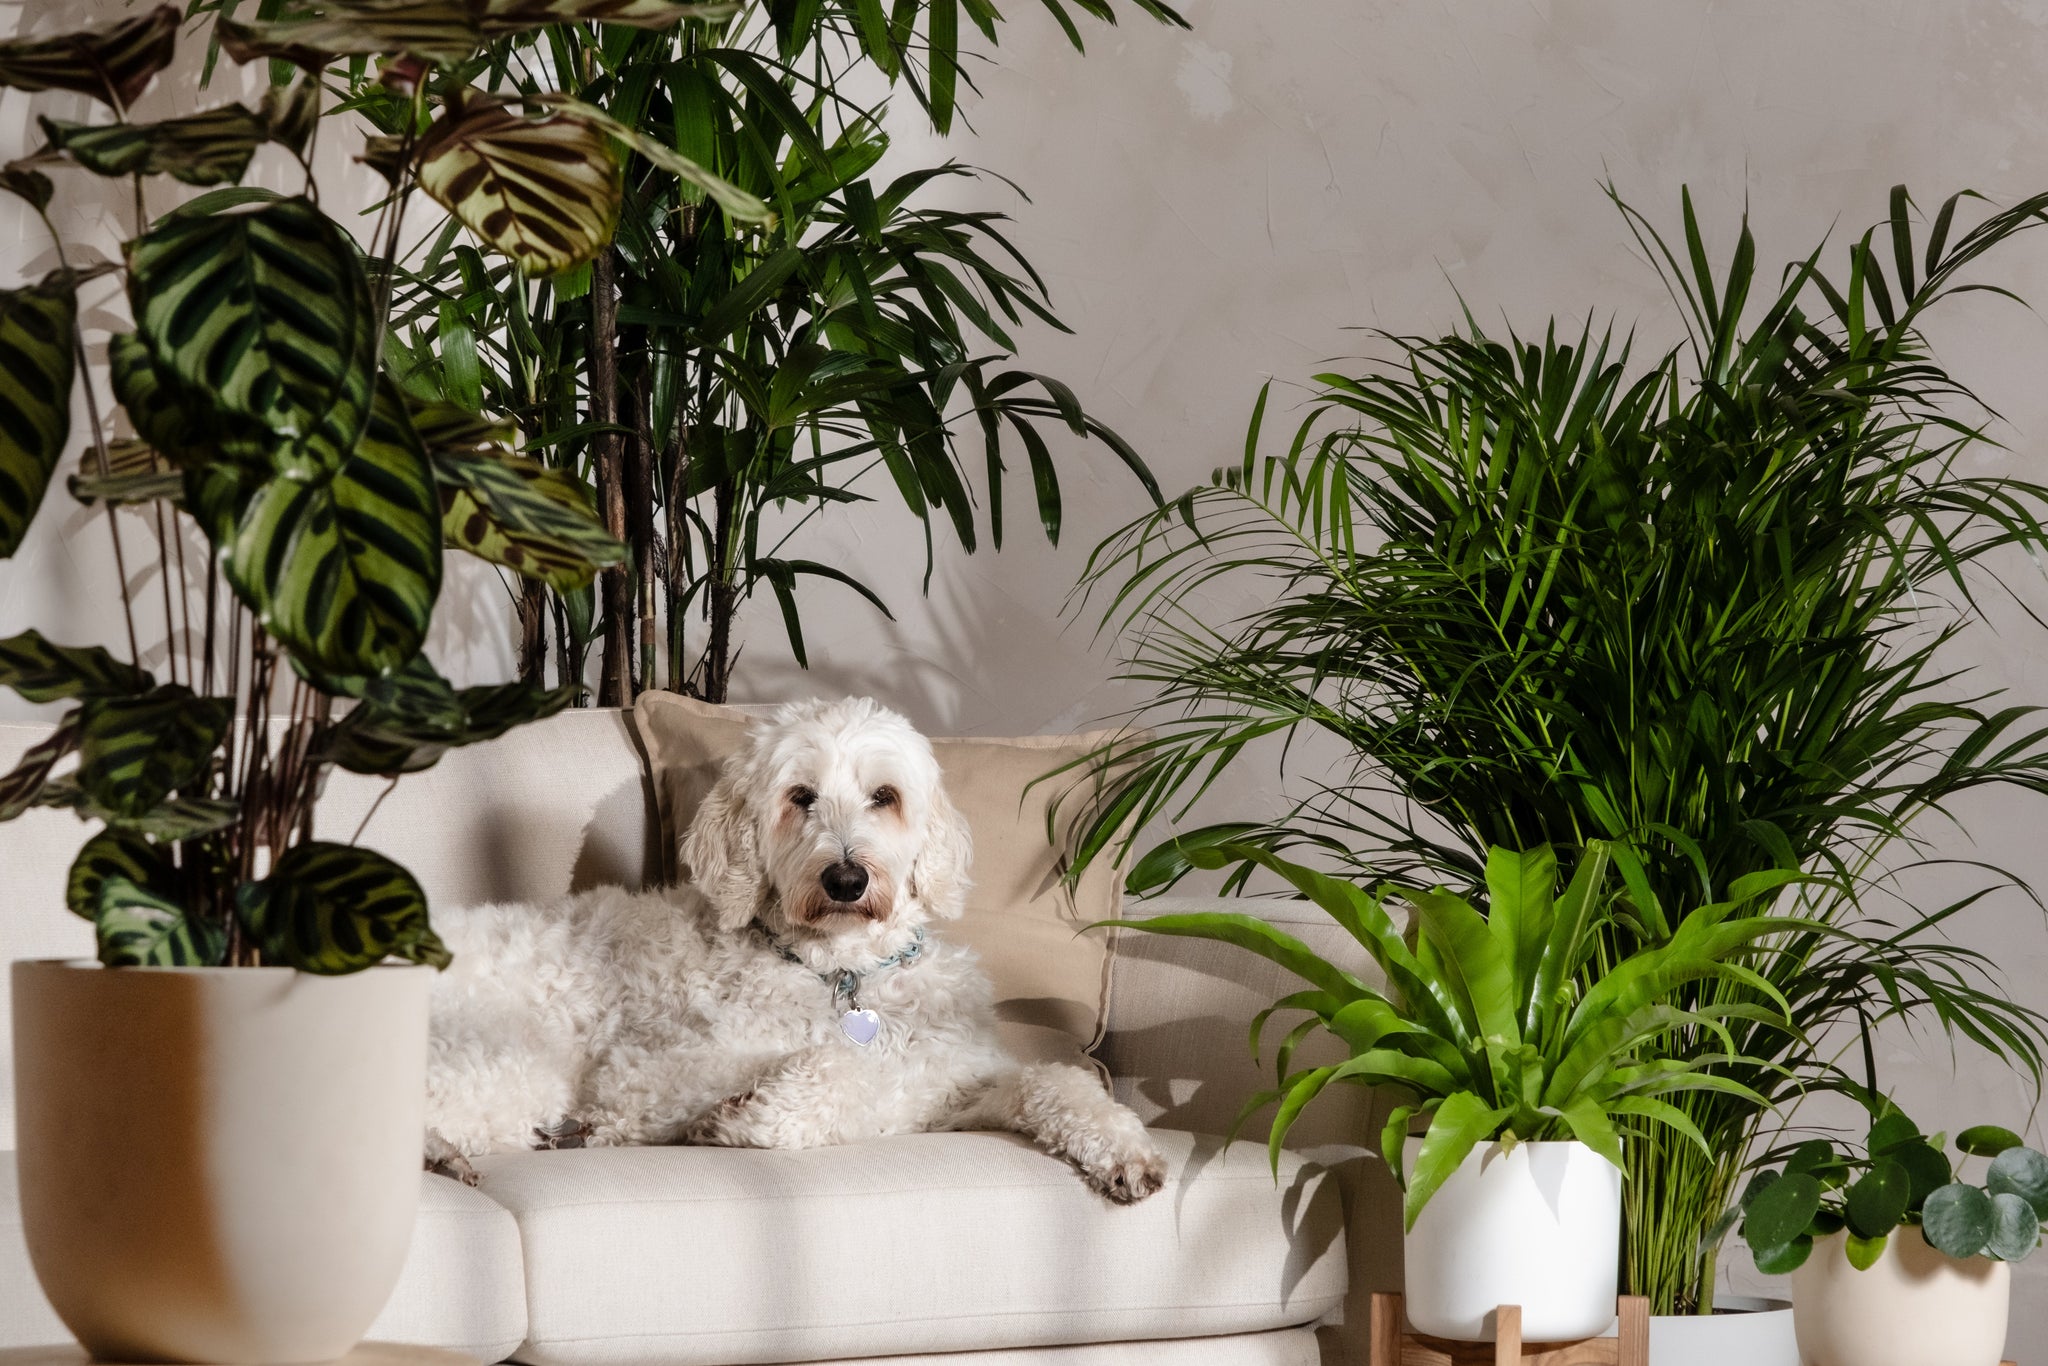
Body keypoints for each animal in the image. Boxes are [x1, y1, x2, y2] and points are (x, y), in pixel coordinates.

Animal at [419, 700, 1171, 1204]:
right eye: (800, 797)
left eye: (885, 796)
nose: (846, 878)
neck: (840, 972)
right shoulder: (643, 1074)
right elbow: (847, 1069)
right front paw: (748, 1115)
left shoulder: (963, 1075)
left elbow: (1053, 1080)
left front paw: (1125, 1150)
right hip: (512, 1064)